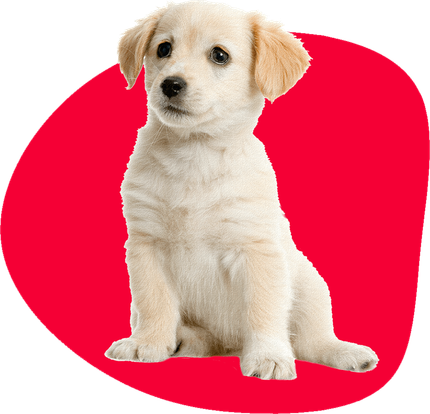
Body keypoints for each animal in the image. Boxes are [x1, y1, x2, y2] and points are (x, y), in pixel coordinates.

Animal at [106, 0, 378, 380]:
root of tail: (229, 345)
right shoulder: (147, 246)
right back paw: (184, 341)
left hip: (311, 286)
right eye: (163, 49)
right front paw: (147, 342)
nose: (171, 84)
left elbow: (263, 309)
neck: (195, 153)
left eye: (219, 55)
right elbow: (154, 302)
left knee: (312, 340)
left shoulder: (255, 250)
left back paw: (344, 352)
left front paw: (268, 357)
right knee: (203, 338)